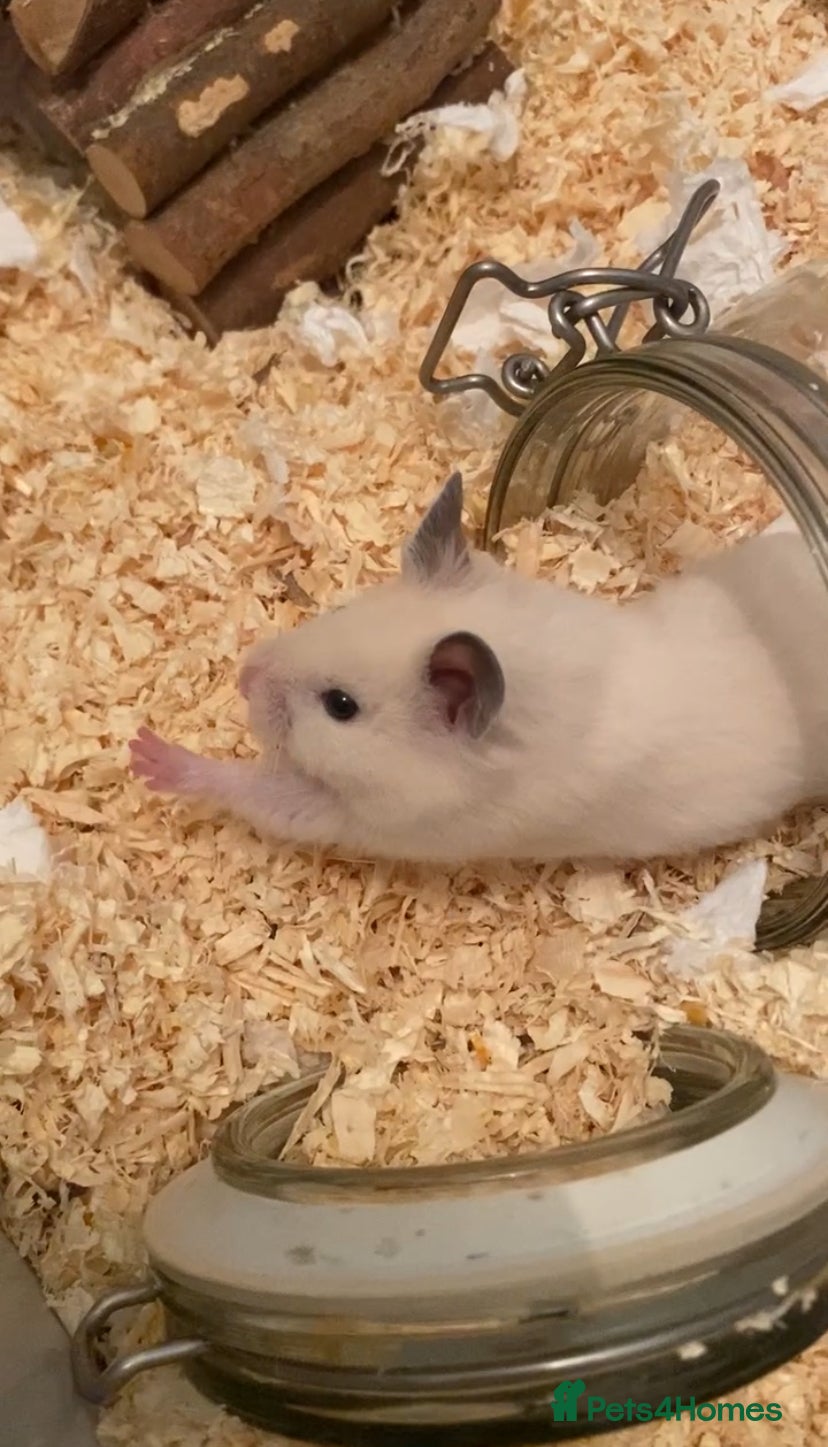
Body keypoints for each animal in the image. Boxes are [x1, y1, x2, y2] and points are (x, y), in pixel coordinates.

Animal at [129, 472, 828, 865]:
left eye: (341, 707)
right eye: (344, 609)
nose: (243, 677)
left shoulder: (375, 821)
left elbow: (260, 792)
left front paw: (146, 754)